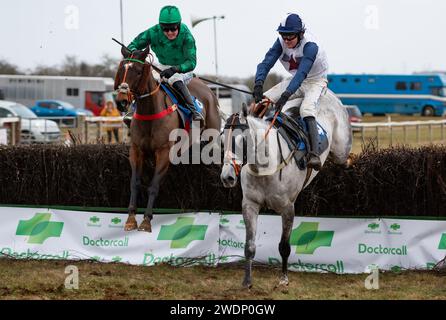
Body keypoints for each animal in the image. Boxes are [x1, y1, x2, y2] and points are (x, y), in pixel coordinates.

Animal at [114, 47, 220, 232]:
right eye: (122, 69)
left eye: (138, 71)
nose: (121, 101)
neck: (150, 112)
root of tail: (209, 92)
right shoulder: (136, 150)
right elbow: (134, 183)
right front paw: (131, 218)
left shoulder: (164, 152)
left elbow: (153, 186)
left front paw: (146, 220)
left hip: (212, 139)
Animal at [220, 91, 352, 288]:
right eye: (221, 142)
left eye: (242, 140)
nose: (227, 177)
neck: (265, 168)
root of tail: (329, 94)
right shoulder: (250, 205)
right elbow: (249, 246)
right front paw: (247, 281)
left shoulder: (287, 207)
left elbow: (284, 246)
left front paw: (283, 278)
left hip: (341, 151)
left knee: (344, 158)